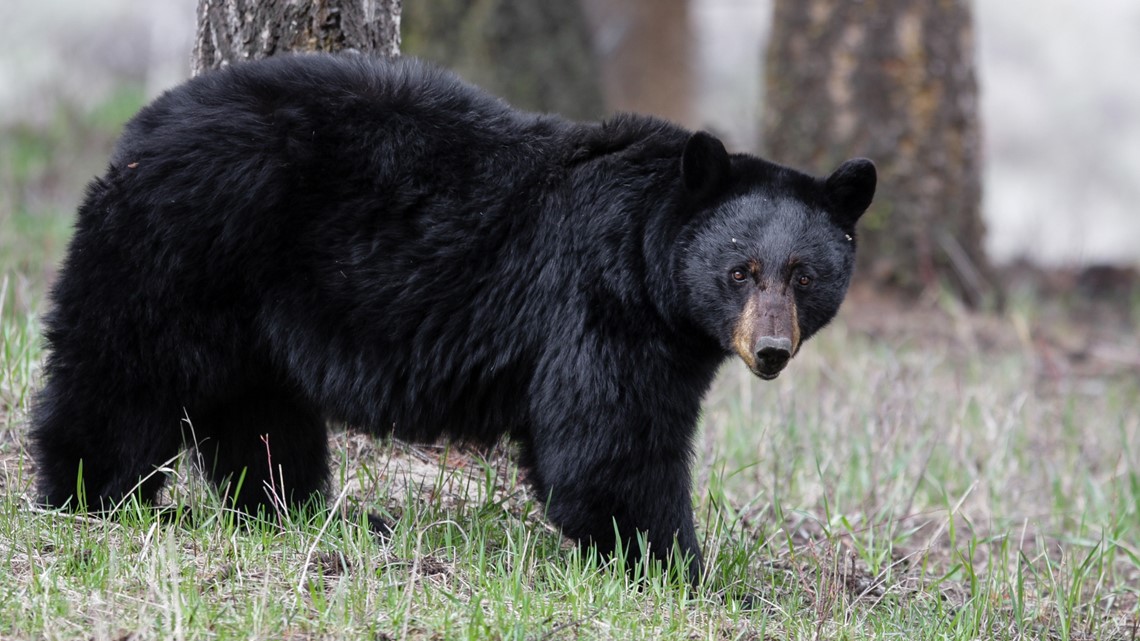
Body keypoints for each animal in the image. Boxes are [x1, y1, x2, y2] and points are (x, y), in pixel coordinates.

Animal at [31, 54, 875, 583]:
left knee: (259, 411)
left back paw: (299, 509)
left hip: (248, 308)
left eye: (804, 274)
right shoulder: (600, 306)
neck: (647, 252)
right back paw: (88, 493)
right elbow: (610, 447)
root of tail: (141, 129)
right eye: (741, 270)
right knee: (121, 371)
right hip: (182, 246)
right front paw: (682, 567)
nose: (770, 350)